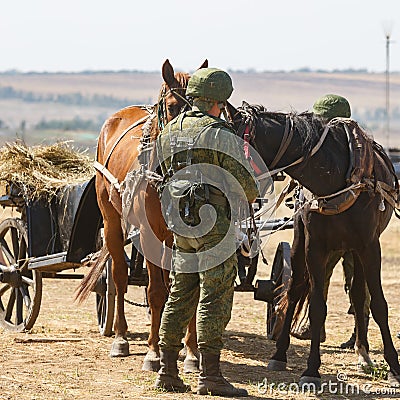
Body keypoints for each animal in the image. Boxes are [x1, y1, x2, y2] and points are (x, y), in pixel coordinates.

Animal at [76, 59, 206, 372]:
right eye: (172, 106)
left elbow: (188, 292)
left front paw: (191, 352)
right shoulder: (147, 236)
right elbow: (155, 292)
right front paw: (153, 353)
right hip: (112, 223)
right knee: (120, 278)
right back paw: (121, 338)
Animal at [227, 102, 400, 388]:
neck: (336, 179)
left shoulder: (369, 246)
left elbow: (379, 305)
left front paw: (394, 367)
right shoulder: (314, 247)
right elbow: (317, 305)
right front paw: (311, 369)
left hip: (352, 250)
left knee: (358, 294)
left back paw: (363, 353)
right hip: (302, 246)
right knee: (294, 288)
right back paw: (279, 354)